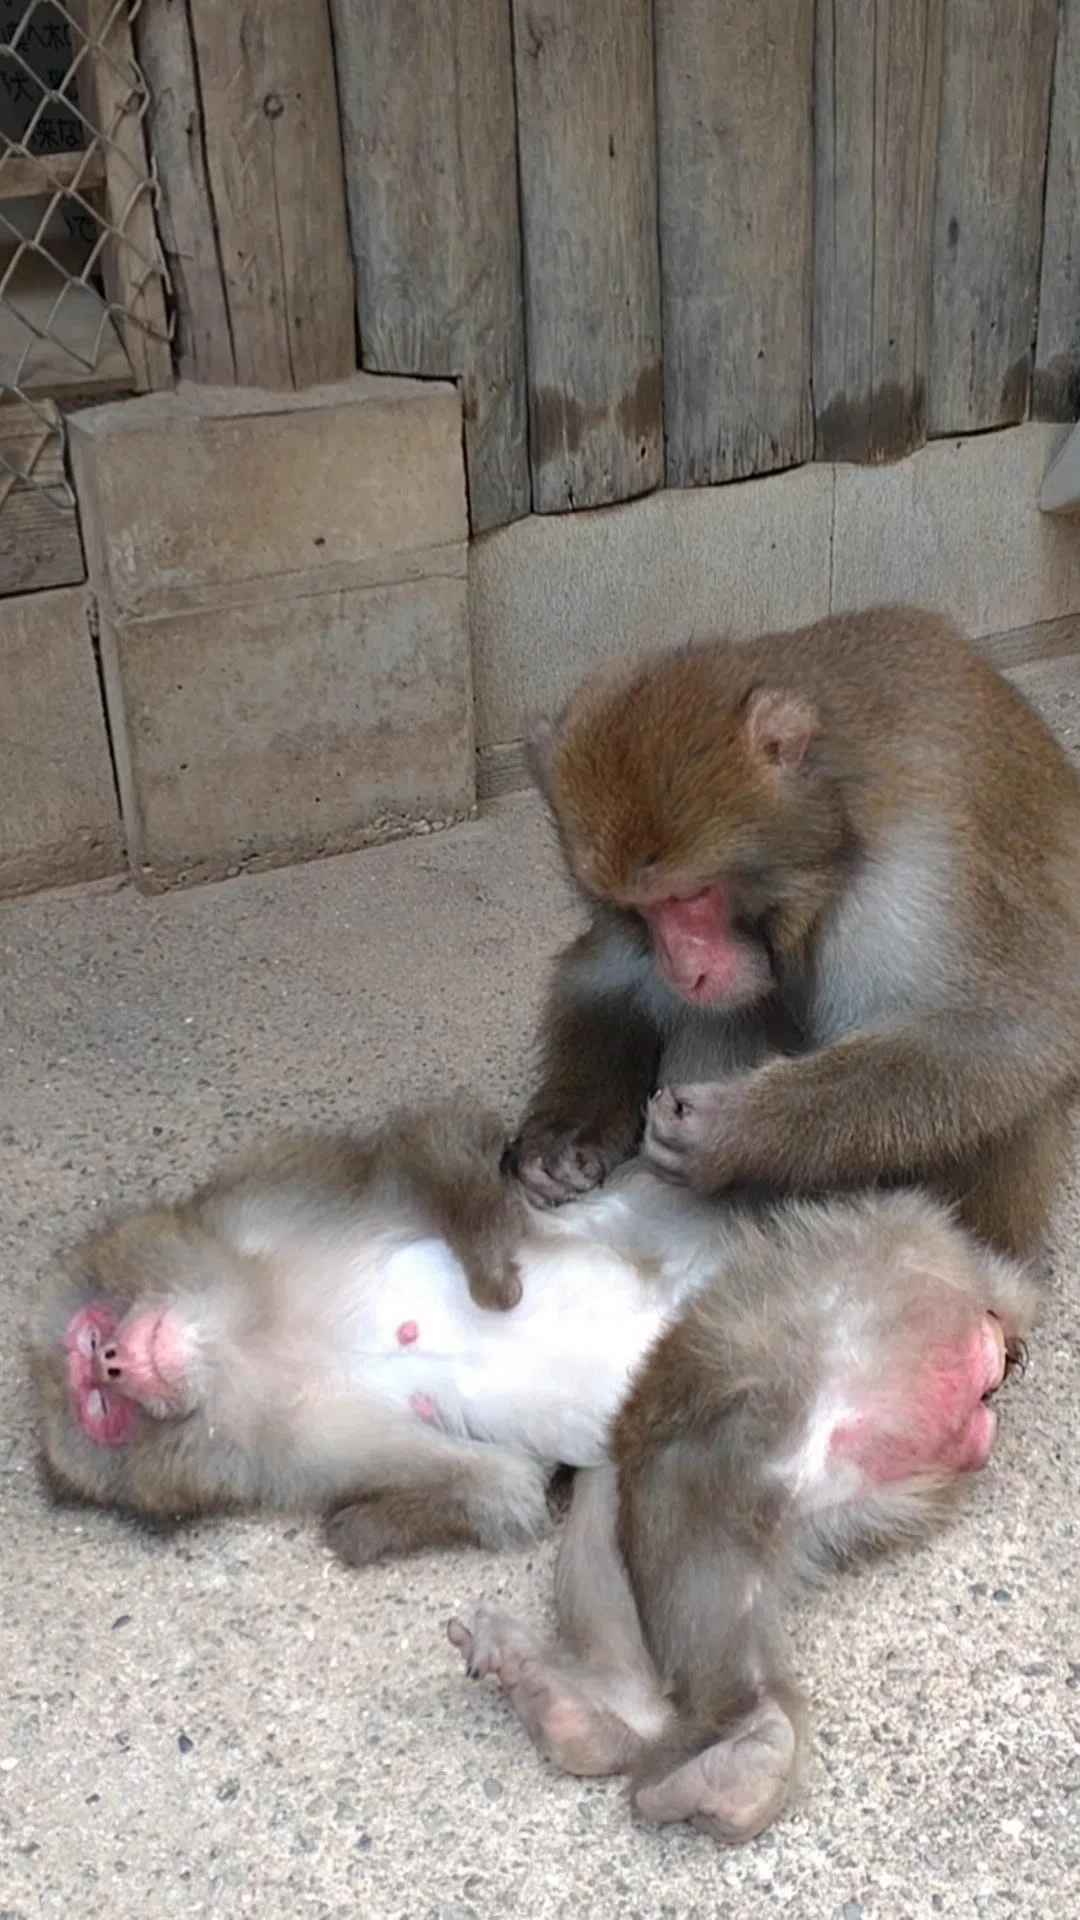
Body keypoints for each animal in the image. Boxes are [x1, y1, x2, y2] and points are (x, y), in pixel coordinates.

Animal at [31, 1097, 1029, 1596]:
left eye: (90, 1348)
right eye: (98, 1405)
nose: (111, 1364)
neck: (257, 1339)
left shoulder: (265, 1206)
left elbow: (433, 1147)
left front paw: (487, 1269)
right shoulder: (290, 1444)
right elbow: (499, 1490)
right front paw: (356, 1528)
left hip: (863, 1245)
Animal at [509, 606, 1080, 1259]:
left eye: (690, 895)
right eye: (637, 909)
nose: (684, 970)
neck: (833, 839)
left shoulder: (916, 866)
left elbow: (1005, 1030)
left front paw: (734, 1130)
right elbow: (602, 982)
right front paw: (562, 1136)